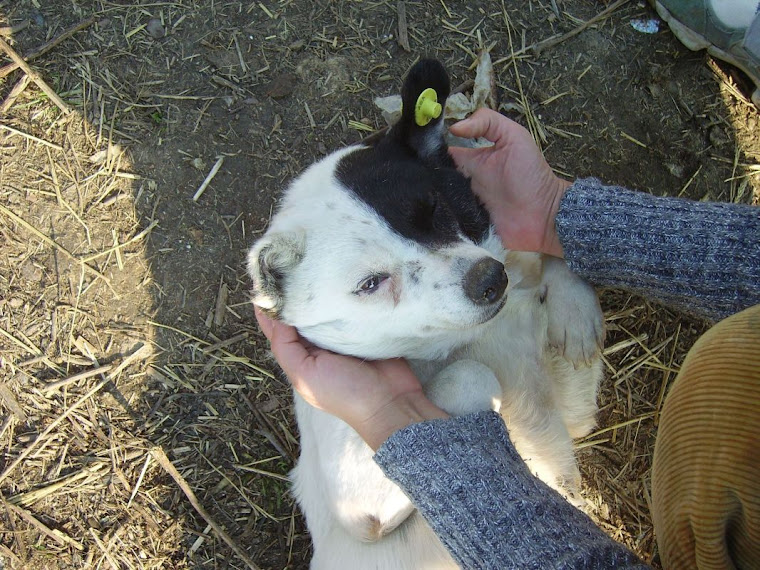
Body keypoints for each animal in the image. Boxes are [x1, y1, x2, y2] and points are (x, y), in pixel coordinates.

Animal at [249, 60, 604, 564]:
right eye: (370, 283)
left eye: (434, 208)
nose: (490, 279)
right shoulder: (359, 507)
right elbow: (473, 375)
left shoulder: (572, 407)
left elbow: (547, 247)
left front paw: (574, 309)